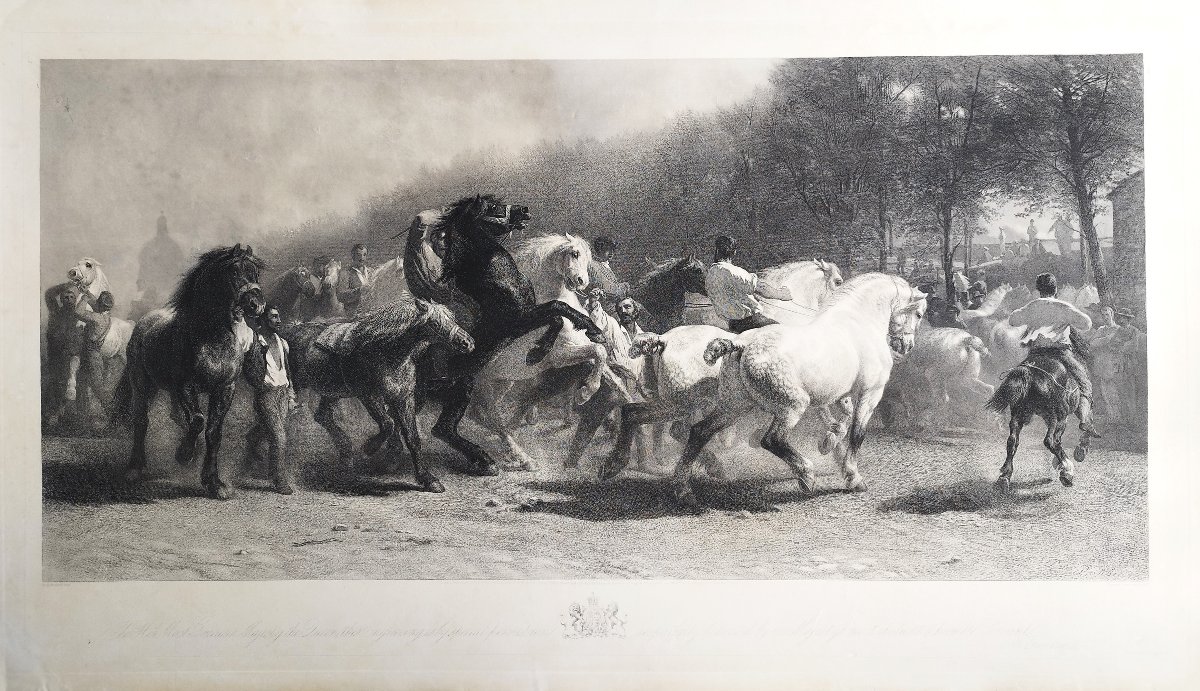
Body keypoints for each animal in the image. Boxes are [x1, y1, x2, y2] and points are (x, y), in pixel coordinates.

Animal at [117, 244, 266, 499]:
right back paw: (135, 469)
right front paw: (183, 455)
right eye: (235, 271)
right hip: (143, 386)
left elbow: (213, 432)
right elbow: (197, 421)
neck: (211, 337)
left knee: (177, 417)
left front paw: (214, 483)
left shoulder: (224, 389)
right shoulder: (187, 387)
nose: (257, 306)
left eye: (255, 272)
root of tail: (144, 322)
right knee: (142, 421)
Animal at [283, 297, 474, 492]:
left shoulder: (404, 398)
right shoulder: (369, 396)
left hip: (331, 391)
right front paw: (369, 448)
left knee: (323, 416)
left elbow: (412, 437)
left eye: (452, 318)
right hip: (299, 386)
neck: (387, 353)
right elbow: (388, 424)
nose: (468, 342)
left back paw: (346, 455)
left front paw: (428, 479)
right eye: (435, 323)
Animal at [405, 195, 604, 475]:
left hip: (496, 383)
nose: (581, 282)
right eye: (574, 254)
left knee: (467, 422)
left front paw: (584, 383)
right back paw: (509, 457)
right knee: (468, 422)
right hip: (468, 387)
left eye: (588, 258)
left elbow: (594, 352)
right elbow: (564, 316)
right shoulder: (539, 337)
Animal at [671, 273, 926, 511]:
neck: (857, 322)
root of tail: (743, 344)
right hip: (792, 407)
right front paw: (854, 479)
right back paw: (807, 476)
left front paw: (829, 443)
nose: (907, 346)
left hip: (735, 404)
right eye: (919, 314)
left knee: (700, 431)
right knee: (772, 439)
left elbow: (841, 421)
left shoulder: (840, 394)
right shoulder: (870, 393)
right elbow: (856, 433)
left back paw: (683, 490)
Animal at [986, 345, 1095, 491]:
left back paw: (1004, 478)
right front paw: (1079, 451)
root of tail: (1030, 372)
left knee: (1012, 441)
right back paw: (1067, 472)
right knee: (1051, 441)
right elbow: (1086, 423)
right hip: (1058, 418)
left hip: (1020, 416)